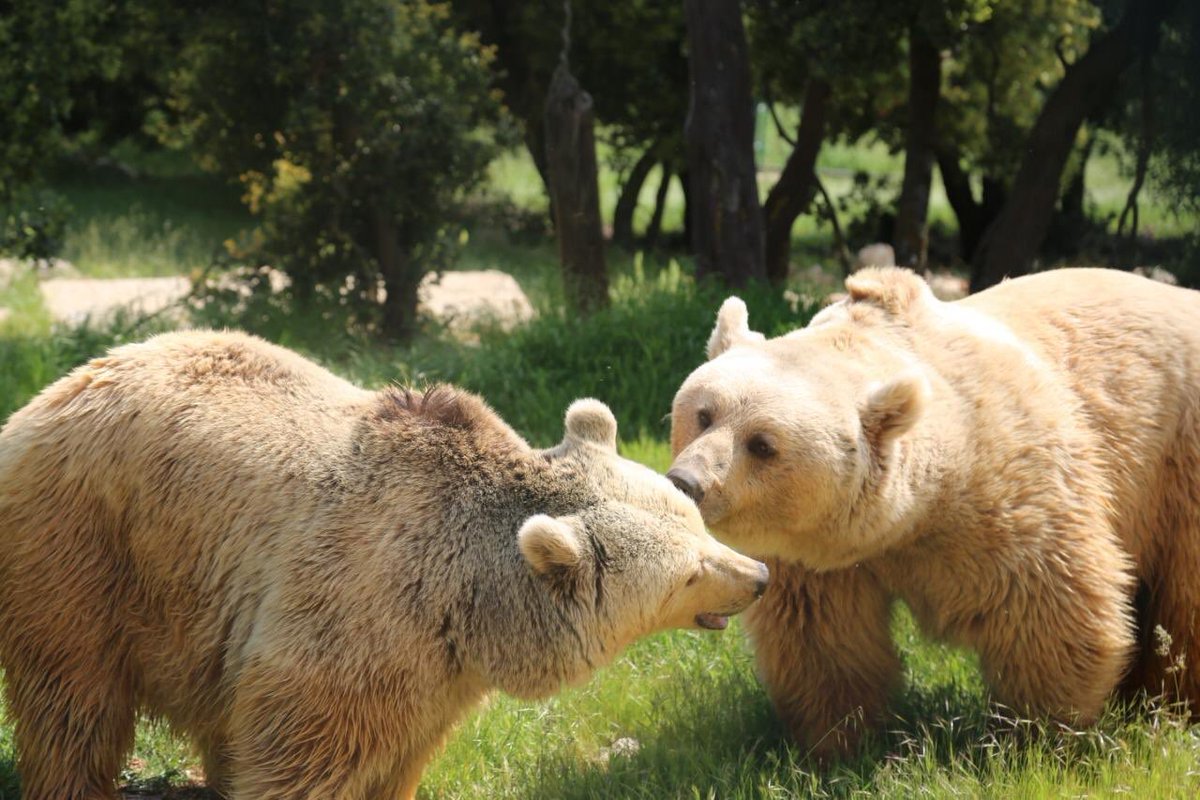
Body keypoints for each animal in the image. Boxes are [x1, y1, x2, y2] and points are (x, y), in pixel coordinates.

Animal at [0, 330, 769, 800]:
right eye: (689, 572)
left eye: (697, 524)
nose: (758, 578)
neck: (472, 603)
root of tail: (52, 395)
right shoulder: (356, 614)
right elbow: (306, 749)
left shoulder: (434, 672)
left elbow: (404, 752)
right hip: (86, 548)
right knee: (73, 704)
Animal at [667, 267, 1200, 759]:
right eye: (704, 414)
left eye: (762, 443)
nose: (687, 481)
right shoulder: (815, 555)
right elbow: (823, 640)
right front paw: (838, 742)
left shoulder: (1011, 500)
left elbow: (1051, 612)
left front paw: (1036, 736)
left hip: (1180, 464)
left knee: (1183, 608)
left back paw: (1166, 706)